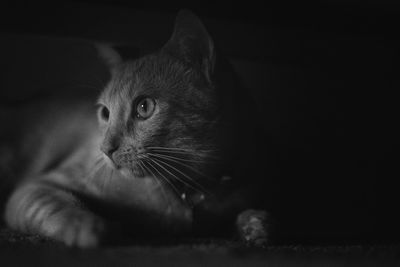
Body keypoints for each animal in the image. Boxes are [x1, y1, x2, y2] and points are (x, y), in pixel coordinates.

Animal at [0, 9, 274, 249]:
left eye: (144, 107)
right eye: (105, 112)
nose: (105, 149)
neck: (189, 192)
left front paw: (256, 224)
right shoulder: (42, 185)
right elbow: (60, 206)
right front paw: (90, 227)